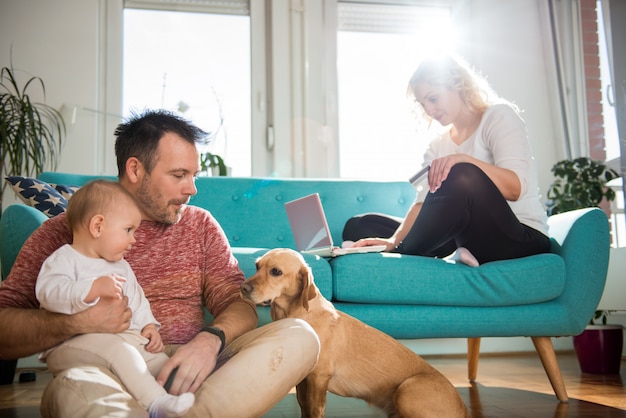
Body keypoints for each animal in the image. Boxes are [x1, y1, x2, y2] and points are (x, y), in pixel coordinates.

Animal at [239, 248, 468, 418]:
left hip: (407, 390)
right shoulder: (303, 381)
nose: (242, 287)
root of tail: (465, 409)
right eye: (257, 266)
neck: (298, 315)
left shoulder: (318, 378)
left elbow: (314, 411)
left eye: (276, 271)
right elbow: (303, 407)